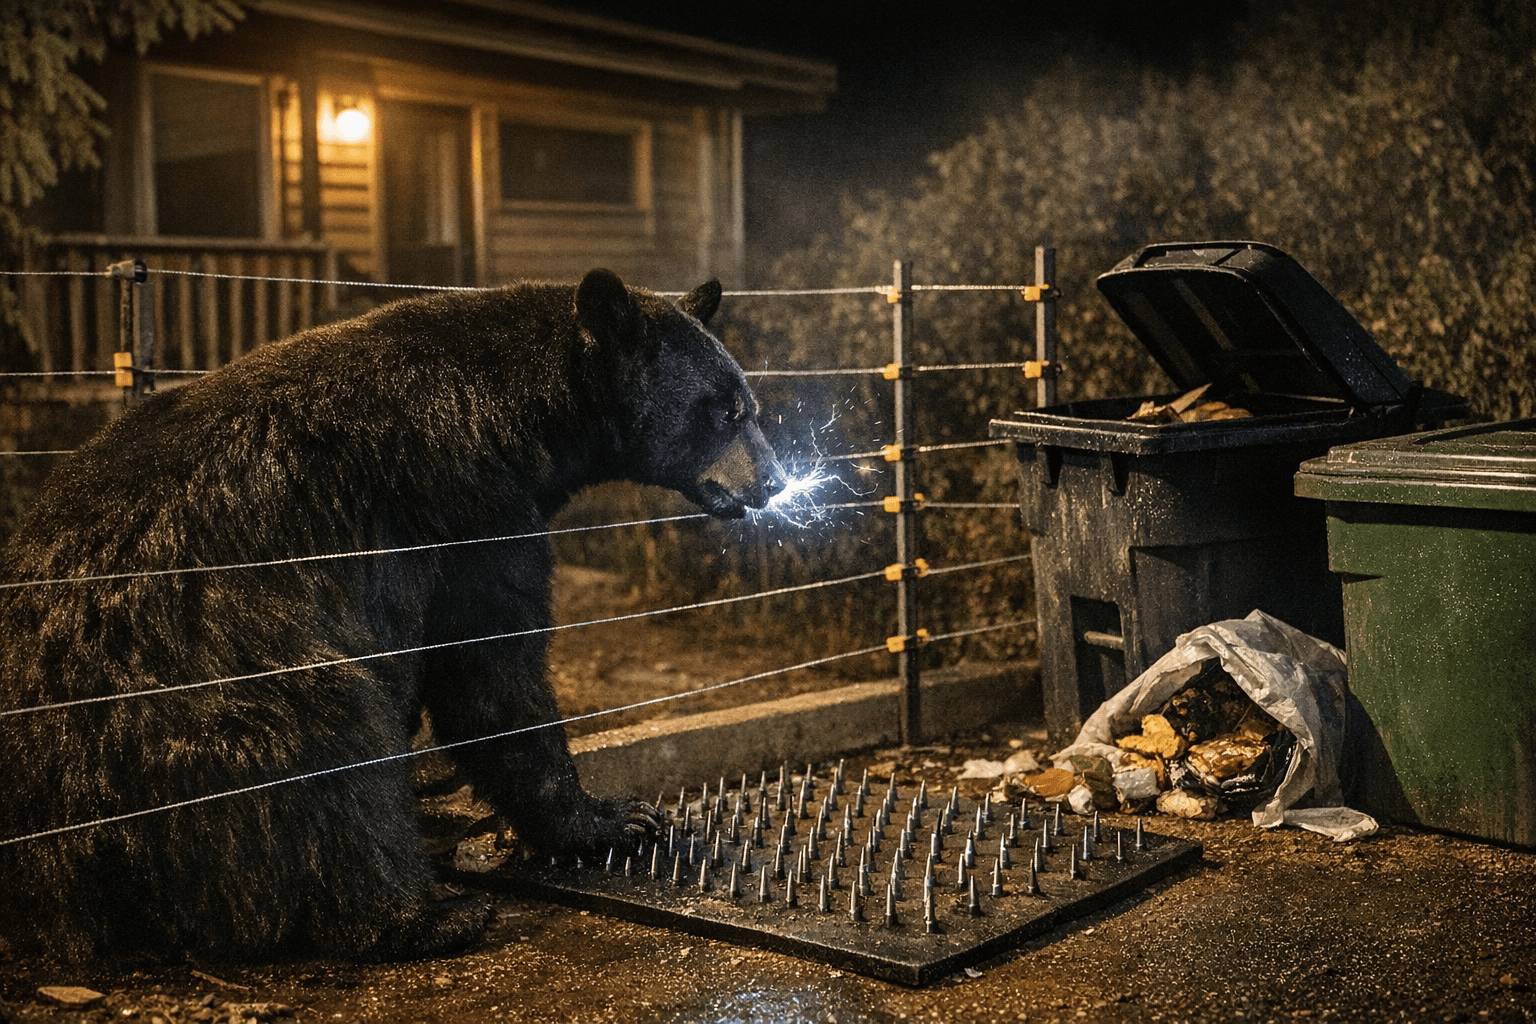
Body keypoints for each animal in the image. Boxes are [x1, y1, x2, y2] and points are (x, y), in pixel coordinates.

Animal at [0, 268, 786, 962]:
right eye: (727, 410)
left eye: (747, 401)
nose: (777, 480)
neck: (520, 414)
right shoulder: (467, 508)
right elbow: (490, 669)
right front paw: (611, 818)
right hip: (216, 686)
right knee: (329, 757)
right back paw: (427, 916)